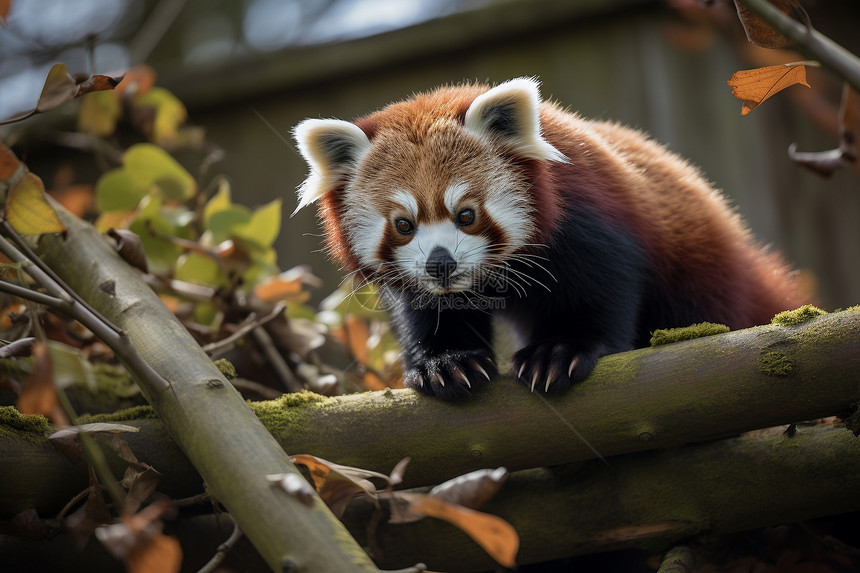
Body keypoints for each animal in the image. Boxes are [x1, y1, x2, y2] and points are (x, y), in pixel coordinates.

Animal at [292, 76, 808, 398]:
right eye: (403, 224)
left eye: (466, 214)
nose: (441, 264)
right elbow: (430, 313)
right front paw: (446, 361)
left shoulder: (587, 219)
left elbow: (599, 287)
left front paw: (561, 350)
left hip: (701, 274)